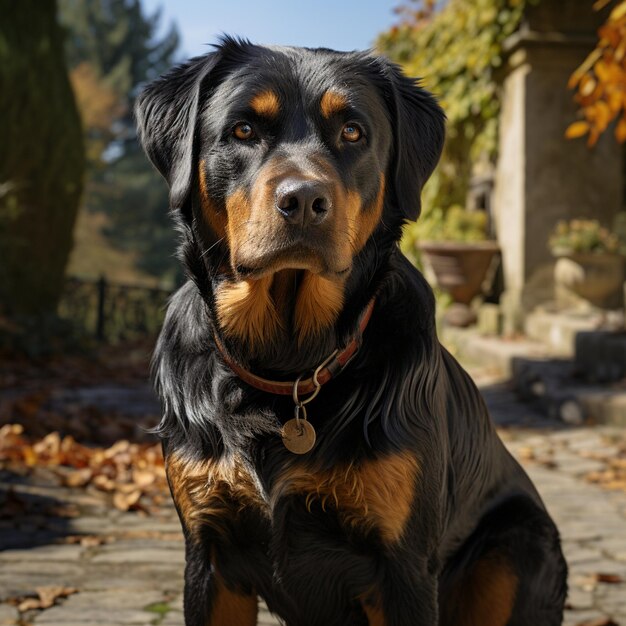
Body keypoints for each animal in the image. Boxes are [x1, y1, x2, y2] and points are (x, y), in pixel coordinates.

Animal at [136, 36, 564, 620]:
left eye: (353, 132)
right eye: (243, 130)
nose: (303, 199)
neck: (288, 366)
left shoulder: (403, 567)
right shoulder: (209, 555)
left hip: (518, 548)